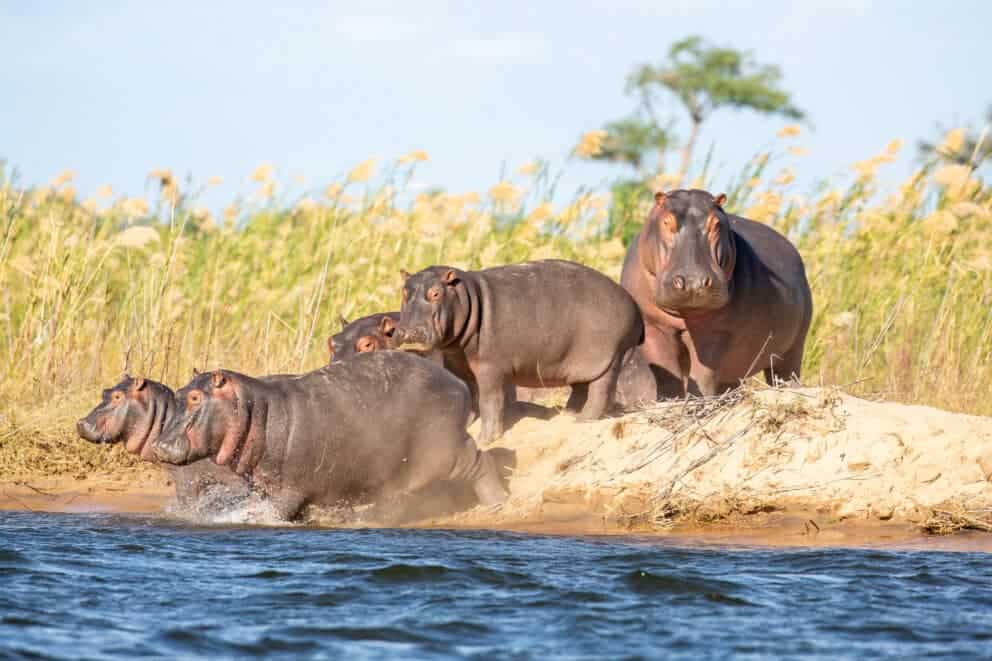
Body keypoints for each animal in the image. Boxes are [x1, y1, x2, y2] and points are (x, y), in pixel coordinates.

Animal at [151, 351, 508, 520]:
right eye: (179, 392)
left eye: (195, 397)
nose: (158, 444)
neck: (256, 409)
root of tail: (458, 383)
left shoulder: (289, 490)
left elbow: (273, 514)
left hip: (447, 451)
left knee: (481, 463)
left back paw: (498, 504)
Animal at [396, 260, 645, 443]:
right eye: (404, 293)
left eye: (435, 293)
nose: (408, 332)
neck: (466, 296)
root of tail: (634, 304)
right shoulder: (460, 366)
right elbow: (469, 397)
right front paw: (466, 428)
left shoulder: (489, 368)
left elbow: (490, 401)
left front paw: (485, 440)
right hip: (579, 363)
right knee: (580, 389)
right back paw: (567, 415)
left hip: (609, 358)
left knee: (601, 391)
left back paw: (582, 420)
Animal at [620, 189, 813, 396]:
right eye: (666, 221)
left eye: (716, 224)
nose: (693, 282)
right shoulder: (654, 327)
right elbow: (666, 375)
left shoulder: (714, 332)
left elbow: (703, 375)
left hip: (793, 349)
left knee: (785, 374)